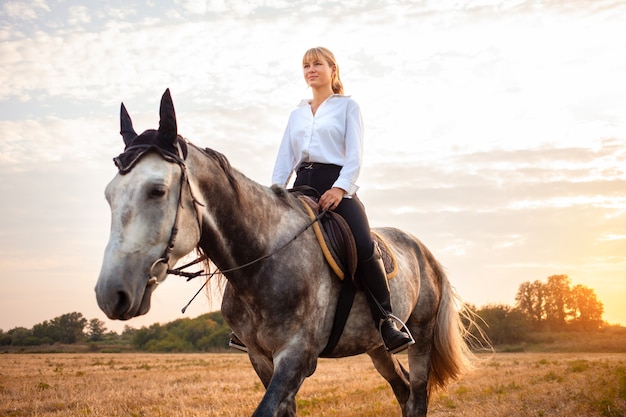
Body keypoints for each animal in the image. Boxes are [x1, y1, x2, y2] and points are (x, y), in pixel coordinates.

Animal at [95, 89, 470, 414]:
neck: (263, 263)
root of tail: (424, 251)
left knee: (417, 394)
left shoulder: (295, 357)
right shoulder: (260, 357)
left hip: (420, 338)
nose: (111, 294)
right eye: (109, 195)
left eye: (157, 190)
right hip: (376, 347)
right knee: (403, 391)